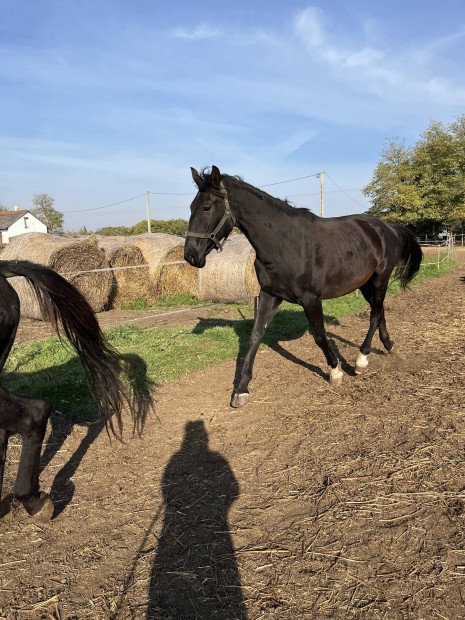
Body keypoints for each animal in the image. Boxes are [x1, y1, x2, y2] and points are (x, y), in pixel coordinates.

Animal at [183, 165, 422, 406]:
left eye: (206, 207)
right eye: (191, 206)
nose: (190, 255)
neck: (284, 243)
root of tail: (388, 228)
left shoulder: (311, 299)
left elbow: (319, 336)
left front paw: (335, 372)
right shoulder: (269, 295)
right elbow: (255, 337)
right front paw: (241, 390)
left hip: (380, 279)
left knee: (374, 314)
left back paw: (361, 360)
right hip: (366, 284)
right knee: (379, 310)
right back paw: (388, 345)